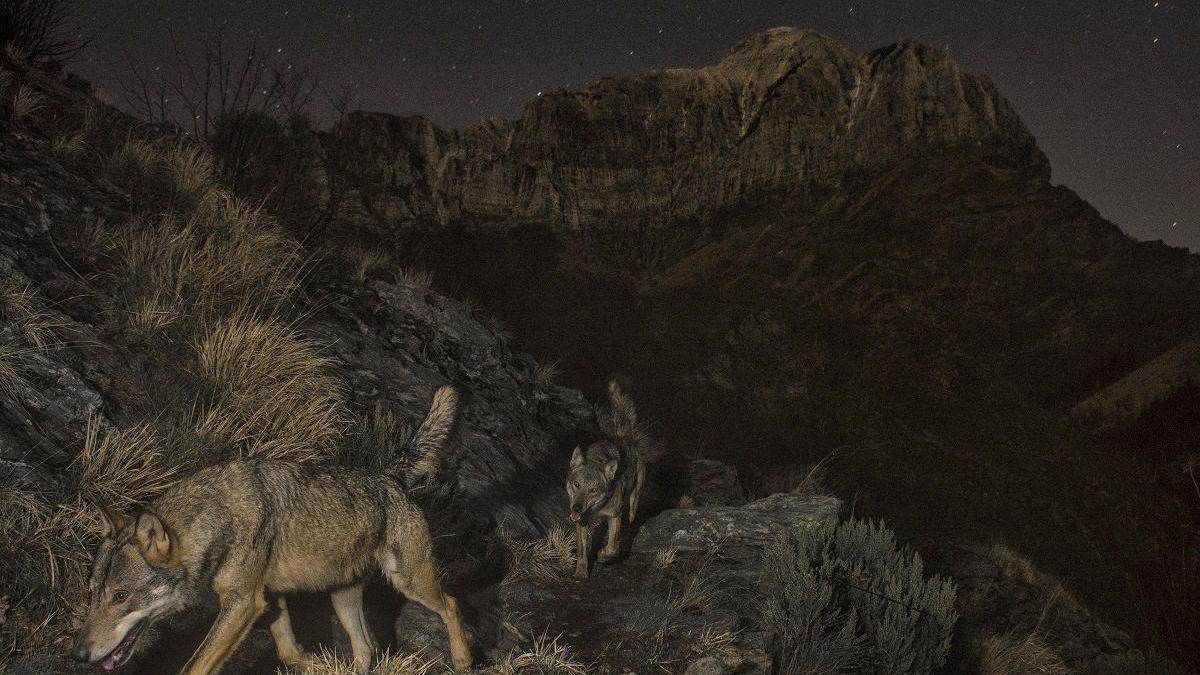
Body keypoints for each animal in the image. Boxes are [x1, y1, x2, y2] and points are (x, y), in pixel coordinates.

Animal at [69, 386, 472, 667]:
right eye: (93, 594)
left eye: (120, 596)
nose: (79, 654)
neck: (217, 517)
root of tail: (389, 477)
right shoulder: (270, 599)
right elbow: (289, 651)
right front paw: (315, 663)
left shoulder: (244, 604)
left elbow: (195, 665)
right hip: (342, 599)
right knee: (366, 650)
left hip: (410, 583)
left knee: (451, 605)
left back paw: (463, 659)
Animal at [564, 374, 648, 576]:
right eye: (577, 485)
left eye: (593, 490)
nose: (576, 507)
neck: (597, 509)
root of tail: (625, 436)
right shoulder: (581, 521)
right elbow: (582, 550)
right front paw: (581, 572)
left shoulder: (614, 515)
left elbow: (611, 548)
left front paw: (602, 555)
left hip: (633, 499)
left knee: (631, 517)